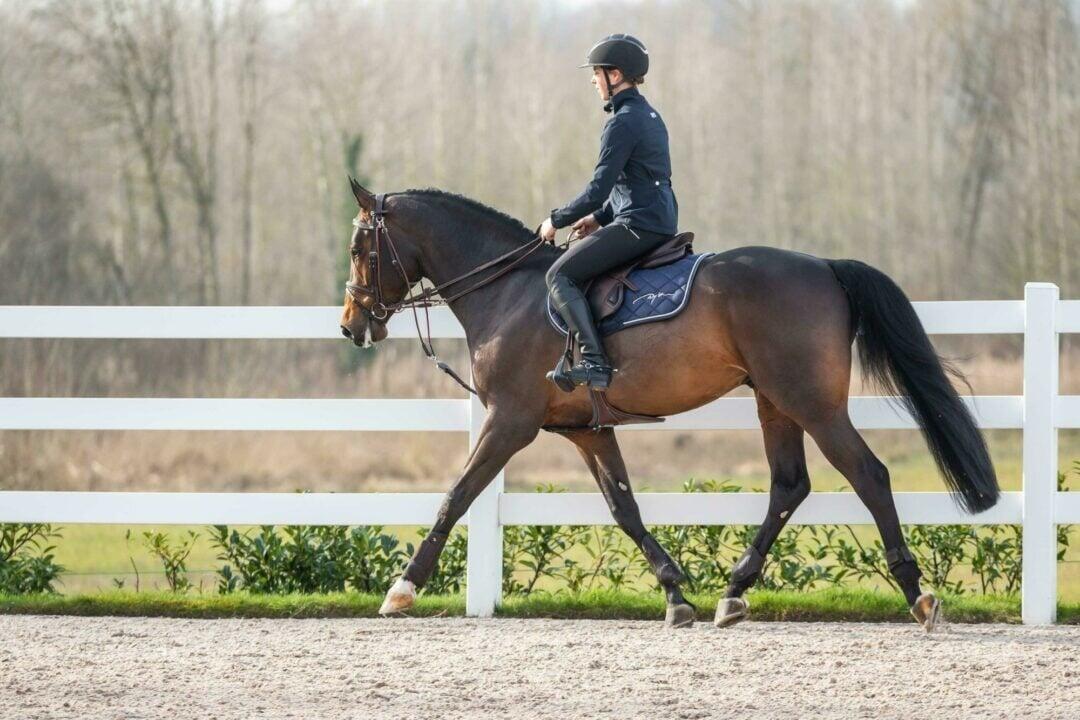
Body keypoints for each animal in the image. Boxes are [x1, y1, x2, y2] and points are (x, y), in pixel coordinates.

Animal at [339, 179, 999, 630]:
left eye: (358, 248)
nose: (351, 326)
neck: (508, 293)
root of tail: (825, 268)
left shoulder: (509, 422)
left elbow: (457, 496)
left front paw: (402, 588)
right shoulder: (587, 432)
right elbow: (624, 510)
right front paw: (676, 593)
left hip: (813, 405)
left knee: (869, 475)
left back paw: (916, 594)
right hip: (775, 404)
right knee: (789, 485)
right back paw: (733, 591)